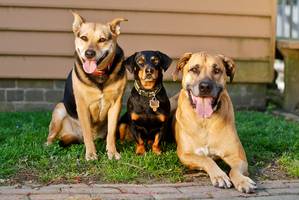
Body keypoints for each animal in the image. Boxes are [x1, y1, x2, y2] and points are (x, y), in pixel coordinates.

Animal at [46, 11, 127, 160]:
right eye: (84, 37)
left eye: (102, 39)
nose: (89, 54)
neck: (99, 73)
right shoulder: (82, 105)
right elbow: (87, 133)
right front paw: (90, 154)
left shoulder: (116, 104)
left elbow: (111, 133)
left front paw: (112, 152)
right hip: (60, 109)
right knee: (51, 136)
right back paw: (48, 145)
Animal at [173, 52, 258, 194]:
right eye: (194, 69)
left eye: (217, 70)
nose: (205, 86)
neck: (205, 121)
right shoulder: (185, 154)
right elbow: (206, 159)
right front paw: (219, 176)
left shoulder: (238, 156)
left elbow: (234, 170)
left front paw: (242, 181)